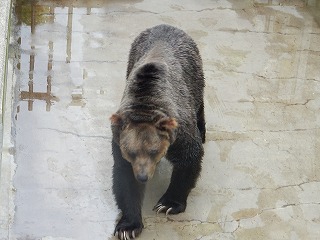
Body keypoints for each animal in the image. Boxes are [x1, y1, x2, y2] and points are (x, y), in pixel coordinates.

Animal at [110, 24, 205, 240]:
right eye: (132, 153)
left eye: (153, 151)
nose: (143, 176)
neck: (145, 104)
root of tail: (165, 25)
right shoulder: (119, 140)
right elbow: (124, 179)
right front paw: (128, 226)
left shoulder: (181, 133)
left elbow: (189, 158)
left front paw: (168, 204)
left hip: (194, 74)